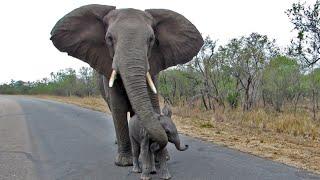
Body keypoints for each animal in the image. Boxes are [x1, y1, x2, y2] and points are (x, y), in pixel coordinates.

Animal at [51, 4, 204, 167]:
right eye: (109, 38)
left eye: (151, 39)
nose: (185, 145)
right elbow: (118, 108)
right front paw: (125, 162)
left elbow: (152, 103)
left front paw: (161, 157)